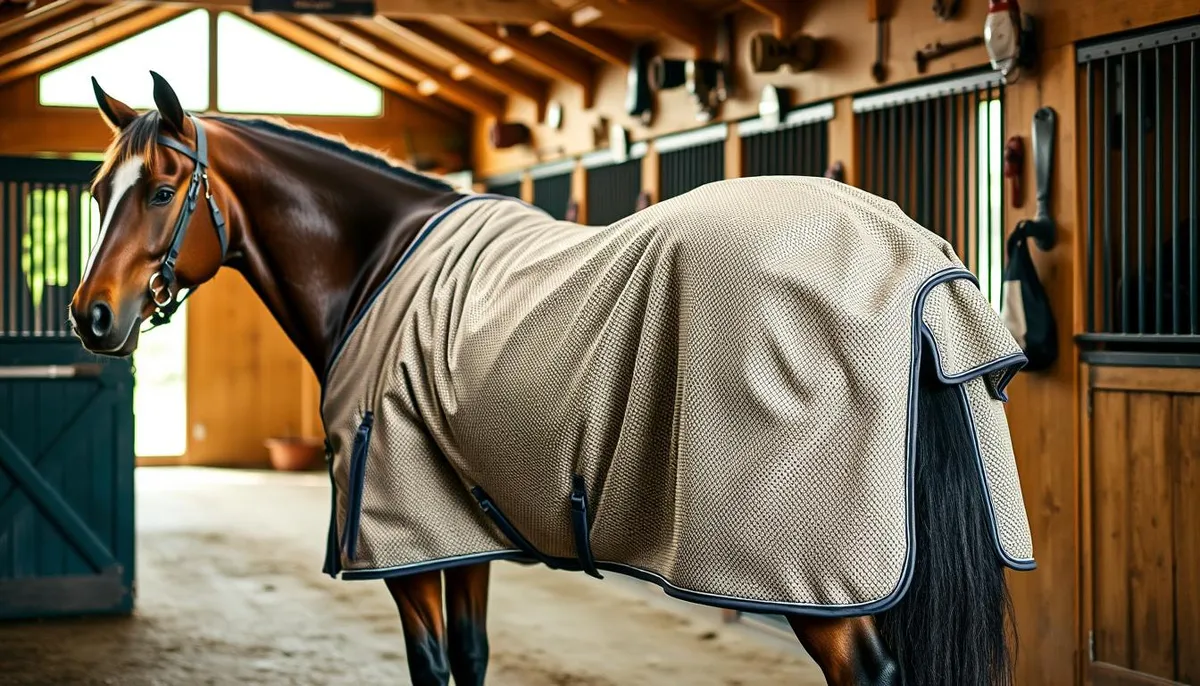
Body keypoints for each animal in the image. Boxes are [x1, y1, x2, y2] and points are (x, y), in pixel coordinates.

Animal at [69, 71, 1034, 686]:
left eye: (161, 191)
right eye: (96, 191)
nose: (90, 317)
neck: (377, 261)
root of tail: (905, 260)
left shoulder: (399, 534)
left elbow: (432, 667)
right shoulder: (455, 527)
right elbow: (471, 658)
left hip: (819, 582)